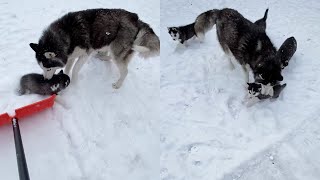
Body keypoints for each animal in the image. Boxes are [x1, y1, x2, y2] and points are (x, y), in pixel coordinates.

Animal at [30, 8, 160, 88]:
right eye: (42, 68)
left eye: (48, 68)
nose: (45, 80)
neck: (67, 34)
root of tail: (136, 18)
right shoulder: (70, 55)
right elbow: (68, 68)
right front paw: (66, 76)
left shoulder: (84, 54)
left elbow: (75, 69)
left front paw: (74, 83)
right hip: (106, 42)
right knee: (107, 55)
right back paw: (103, 57)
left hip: (117, 52)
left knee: (124, 70)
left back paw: (117, 84)